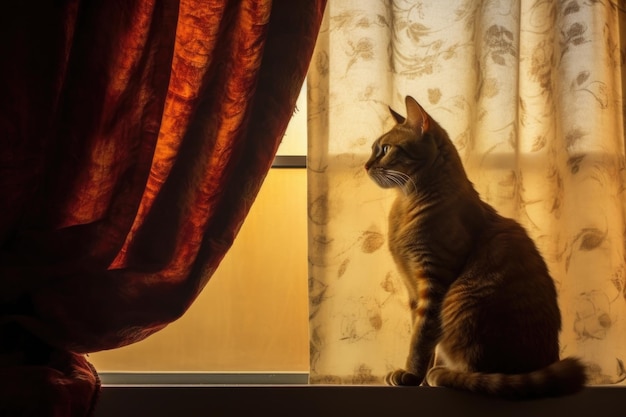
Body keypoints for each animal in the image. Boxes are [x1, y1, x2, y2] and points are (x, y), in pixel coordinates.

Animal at [360, 95, 584, 400]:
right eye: (374, 149)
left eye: (384, 149)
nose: (366, 165)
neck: (407, 204)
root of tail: (545, 362)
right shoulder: (414, 290)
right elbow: (424, 338)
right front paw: (418, 378)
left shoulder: (433, 282)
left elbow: (420, 340)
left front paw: (412, 375)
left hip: (463, 302)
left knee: (477, 374)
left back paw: (440, 375)